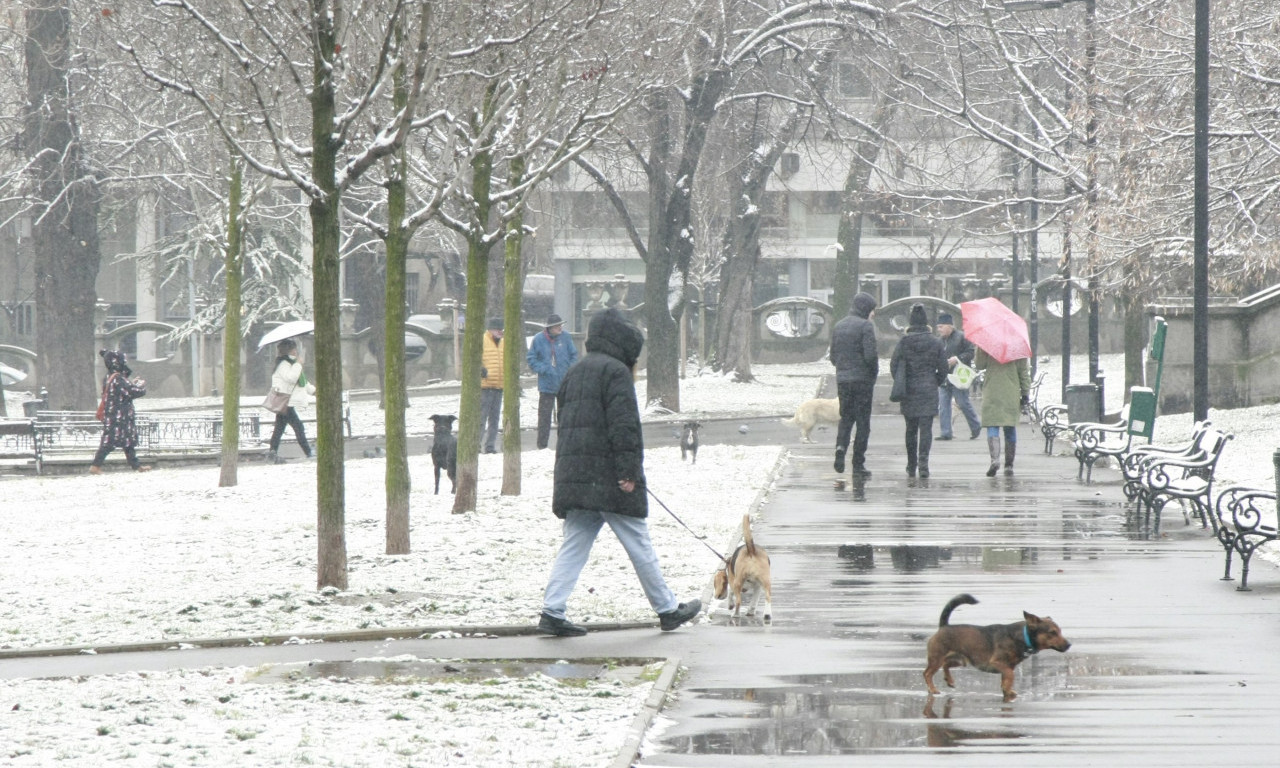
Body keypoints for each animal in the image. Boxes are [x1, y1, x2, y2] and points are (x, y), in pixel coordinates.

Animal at [921, 593, 1070, 701]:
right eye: (1052, 632)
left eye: (1060, 631)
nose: (1069, 645)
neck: (1022, 636)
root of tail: (944, 626)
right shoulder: (998, 663)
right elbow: (1010, 675)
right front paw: (1008, 689)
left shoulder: (1007, 667)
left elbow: (1006, 679)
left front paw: (1007, 691)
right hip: (937, 658)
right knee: (927, 673)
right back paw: (933, 689)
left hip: (960, 660)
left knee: (946, 665)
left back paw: (950, 680)